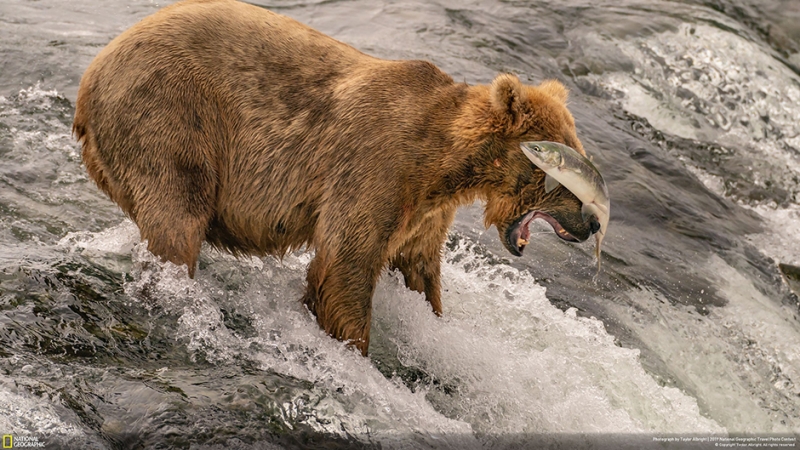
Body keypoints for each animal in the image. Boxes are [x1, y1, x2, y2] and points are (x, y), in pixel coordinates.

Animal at [73, 0, 600, 356]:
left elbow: (419, 268)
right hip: (171, 117)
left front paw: (433, 320)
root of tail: (91, 74)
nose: (593, 221)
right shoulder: (375, 167)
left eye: (578, 148)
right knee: (177, 218)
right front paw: (355, 349)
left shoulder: (425, 211)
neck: (445, 163)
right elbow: (345, 263)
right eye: (561, 170)